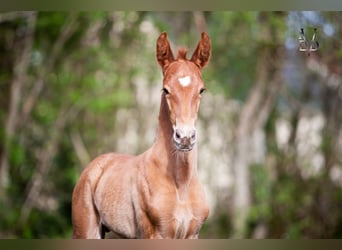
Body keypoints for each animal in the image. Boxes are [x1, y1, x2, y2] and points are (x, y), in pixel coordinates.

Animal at [72, 32, 211, 239]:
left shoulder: (192, 235)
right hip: (86, 230)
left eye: (201, 89)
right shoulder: (155, 234)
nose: (185, 138)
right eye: (166, 89)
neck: (181, 185)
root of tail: (94, 166)